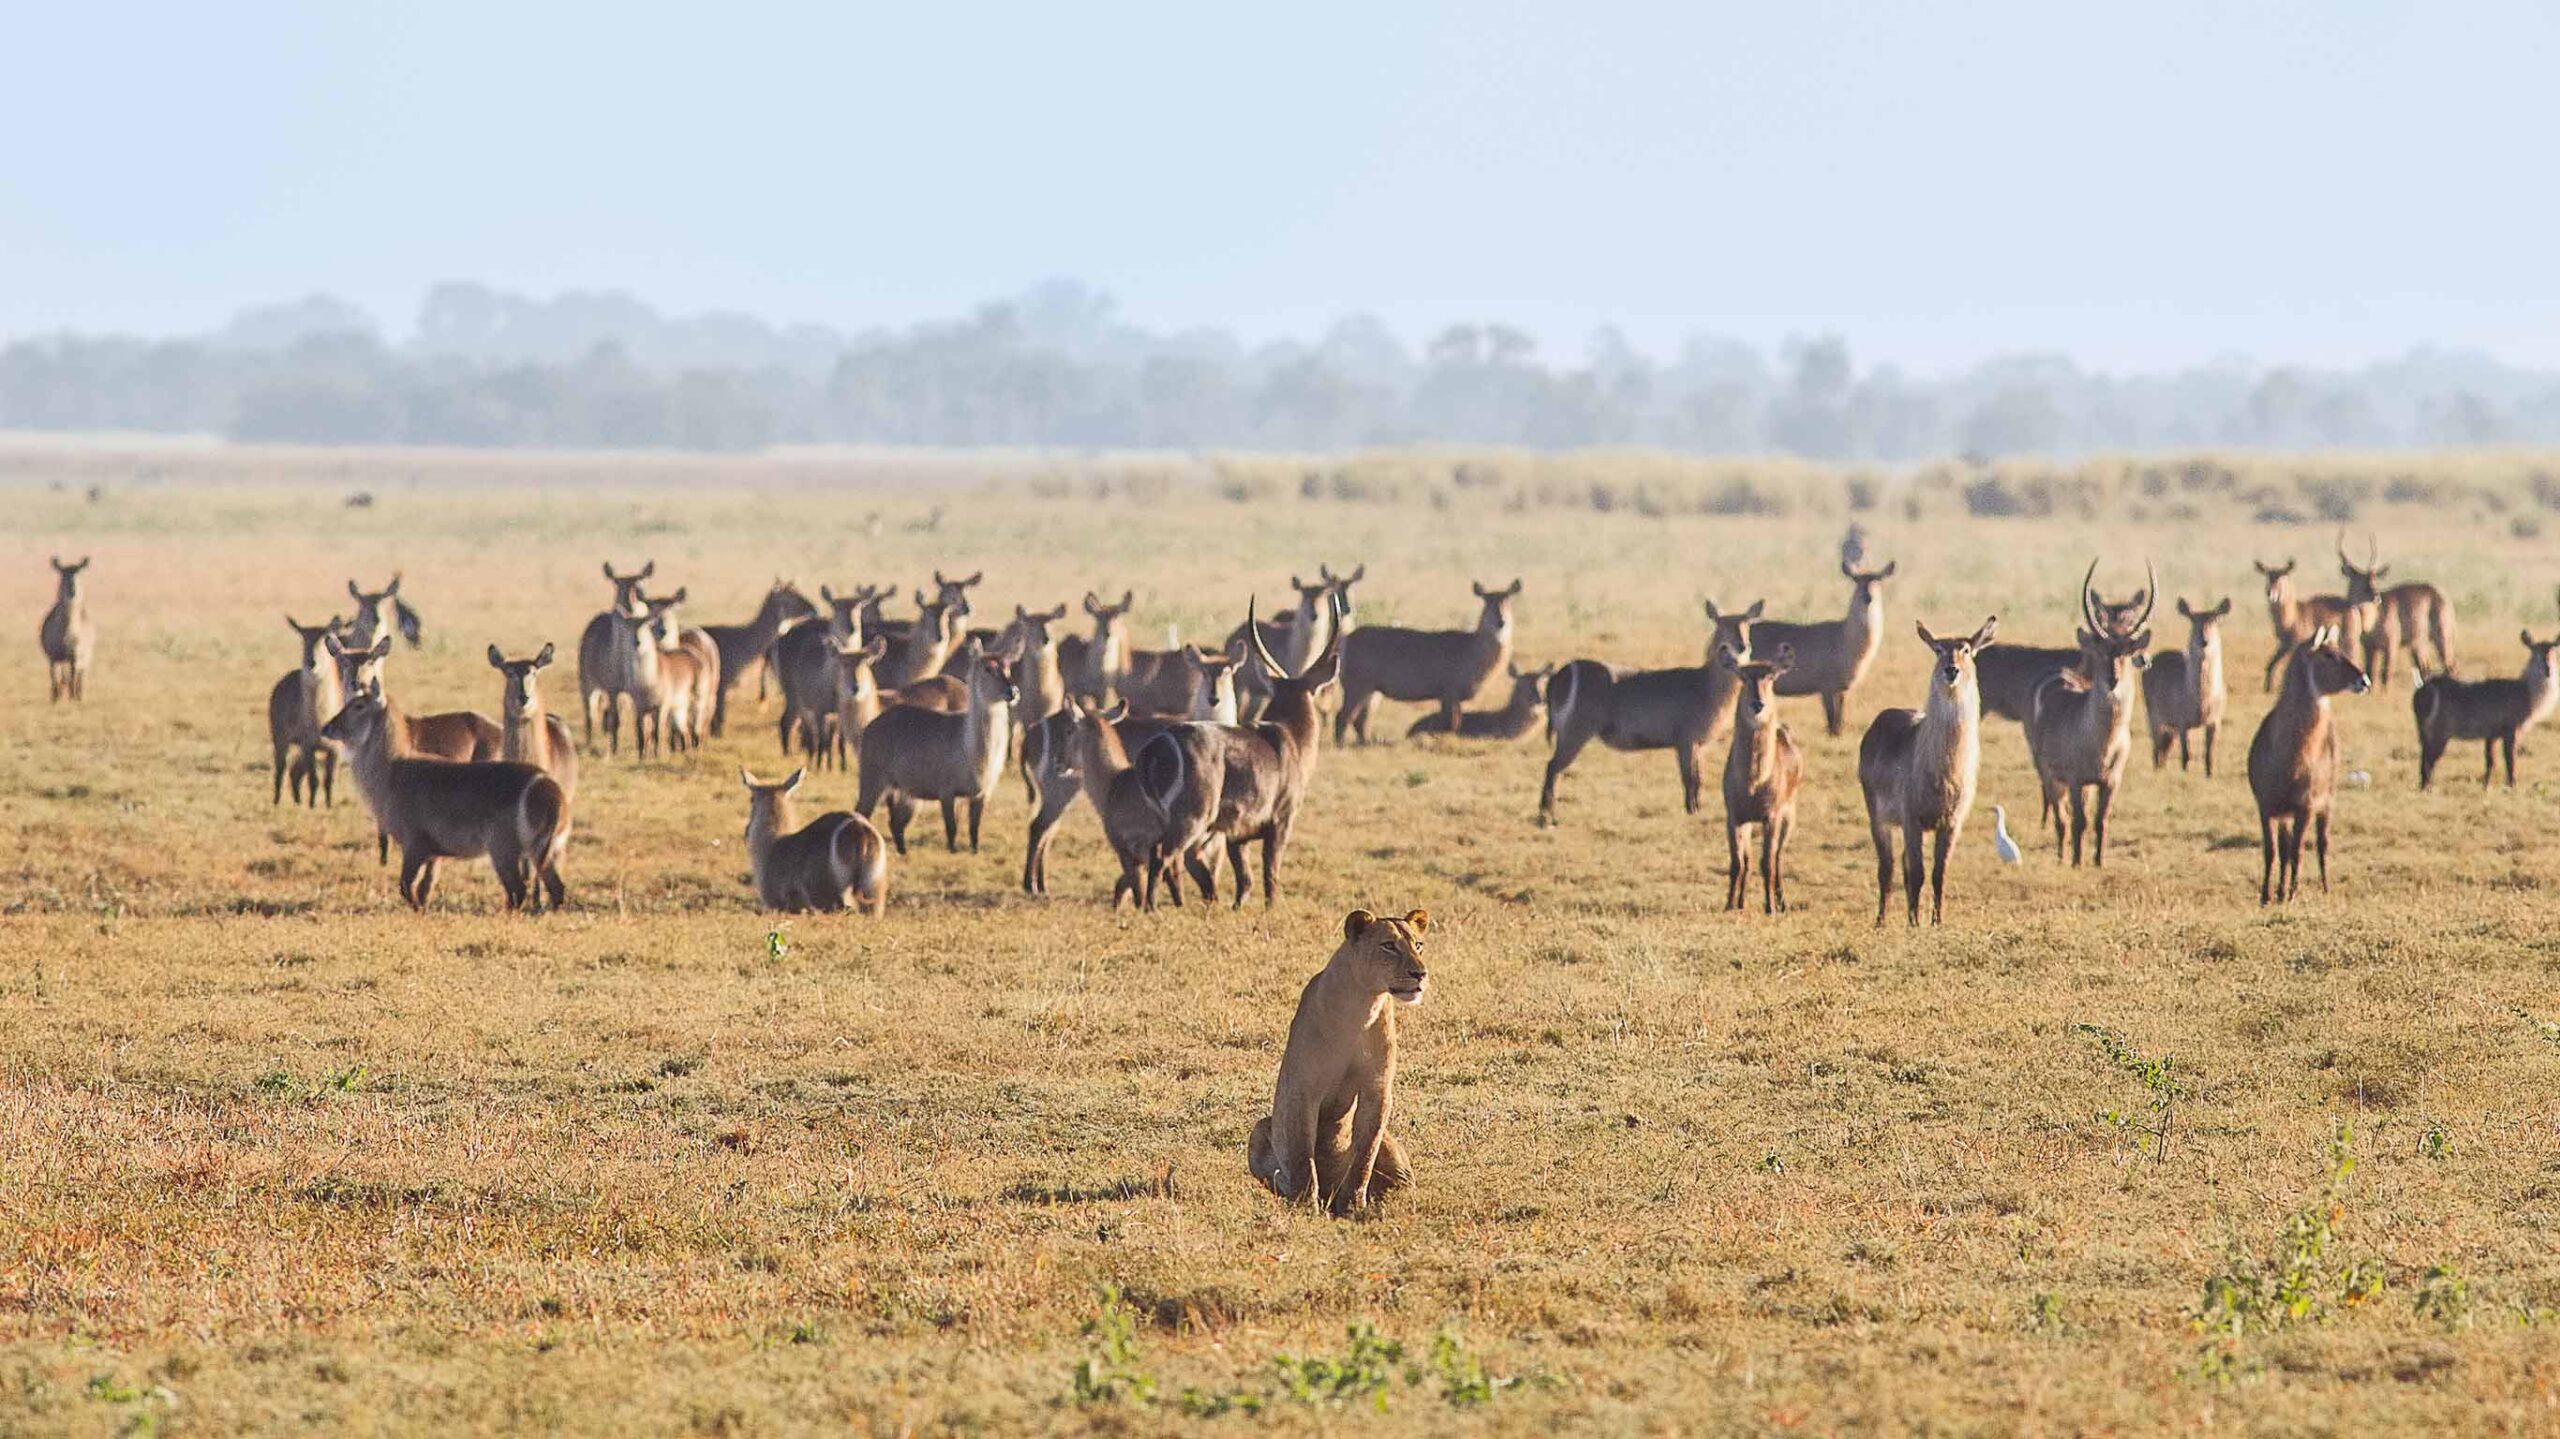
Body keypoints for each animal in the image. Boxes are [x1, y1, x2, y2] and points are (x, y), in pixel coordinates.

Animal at [1246, 908, 1430, 1214]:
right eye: (1388, 946)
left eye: (1418, 945)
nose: (1420, 974)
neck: (1362, 1006)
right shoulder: (1302, 1088)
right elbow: (1302, 1156)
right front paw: (1305, 1205)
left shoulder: (1377, 1089)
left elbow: (1364, 1155)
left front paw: (1354, 1205)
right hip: (1259, 1129)